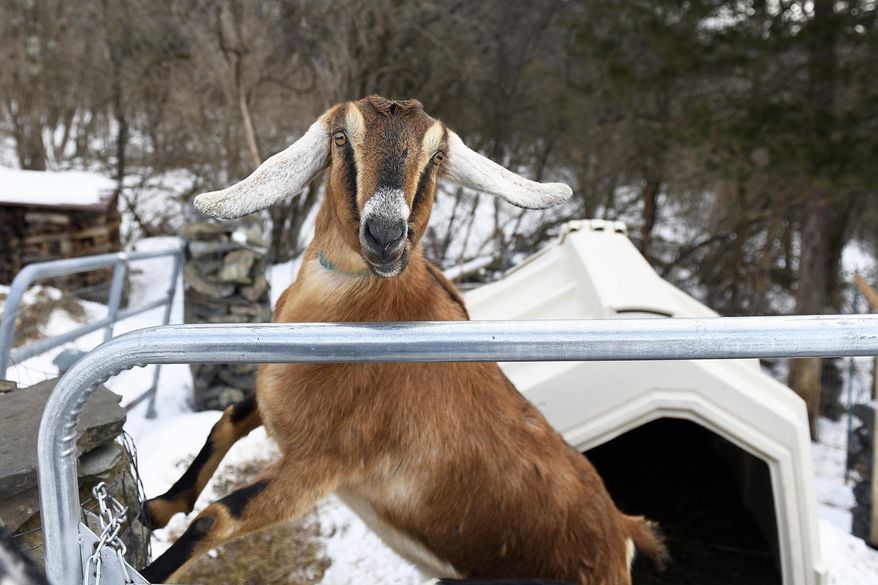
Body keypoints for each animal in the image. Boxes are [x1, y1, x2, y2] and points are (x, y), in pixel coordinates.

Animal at [141, 96, 667, 584]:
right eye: (341, 138)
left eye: (436, 155)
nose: (386, 234)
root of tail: (622, 531)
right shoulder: (274, 406)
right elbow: (227, 420)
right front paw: (155, 508)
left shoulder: (320, 464)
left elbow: (216, 519)